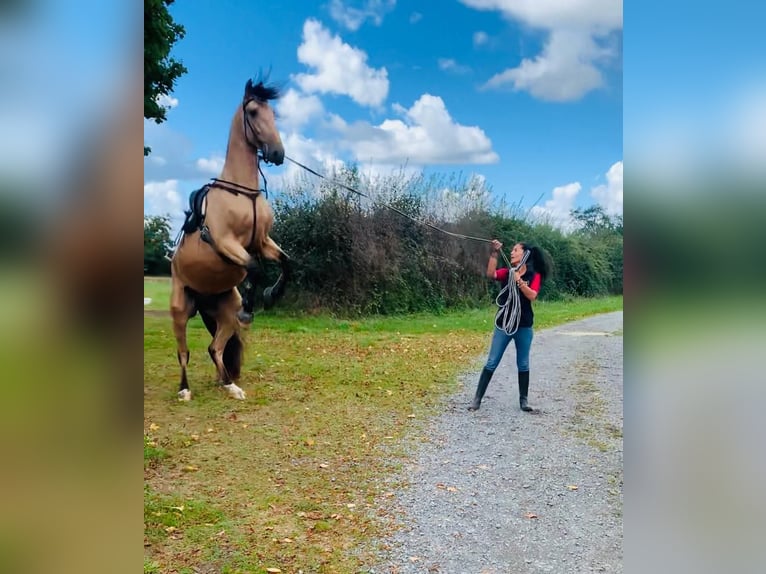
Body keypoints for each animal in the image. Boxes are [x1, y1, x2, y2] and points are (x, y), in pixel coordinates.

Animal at [171, 79, 292, 402]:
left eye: (273, 113)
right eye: (252, 112)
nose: (277, 153)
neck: (242, 191)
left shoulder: (262, 242)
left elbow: (287, 262)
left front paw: (271, 295)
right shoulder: (227, 244)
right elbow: (254, 268)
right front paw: (251, 307)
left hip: (225, 315)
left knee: (216, 348)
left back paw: (230, 385)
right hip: (180, 310)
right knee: (184, 353)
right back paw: (185, 390)